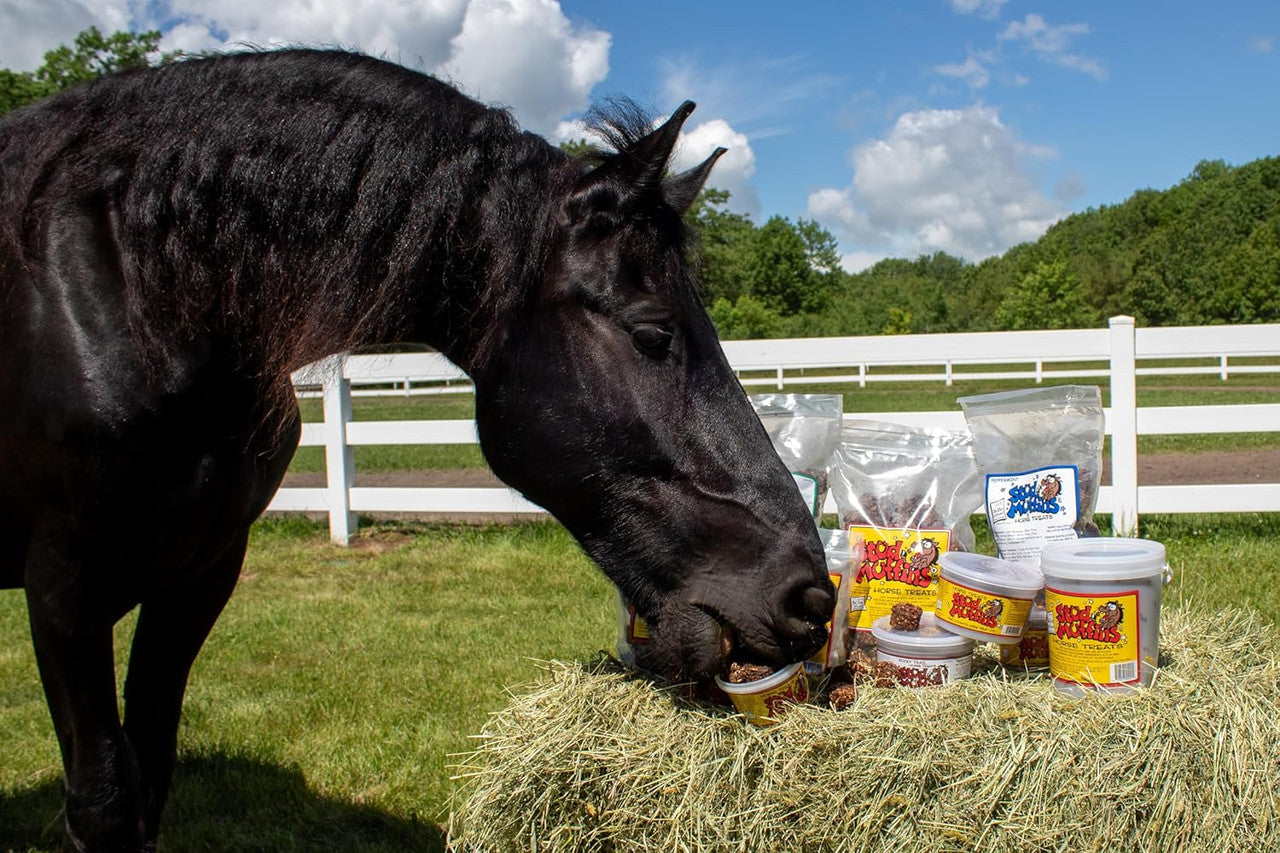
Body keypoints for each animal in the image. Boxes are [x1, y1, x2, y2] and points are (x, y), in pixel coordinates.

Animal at [0, 49, 834, 845]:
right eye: (654, 332)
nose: (811, 594)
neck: (132, 294)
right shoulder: (65, 589)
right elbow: (106, 800)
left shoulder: (199, 572)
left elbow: (149, 776)